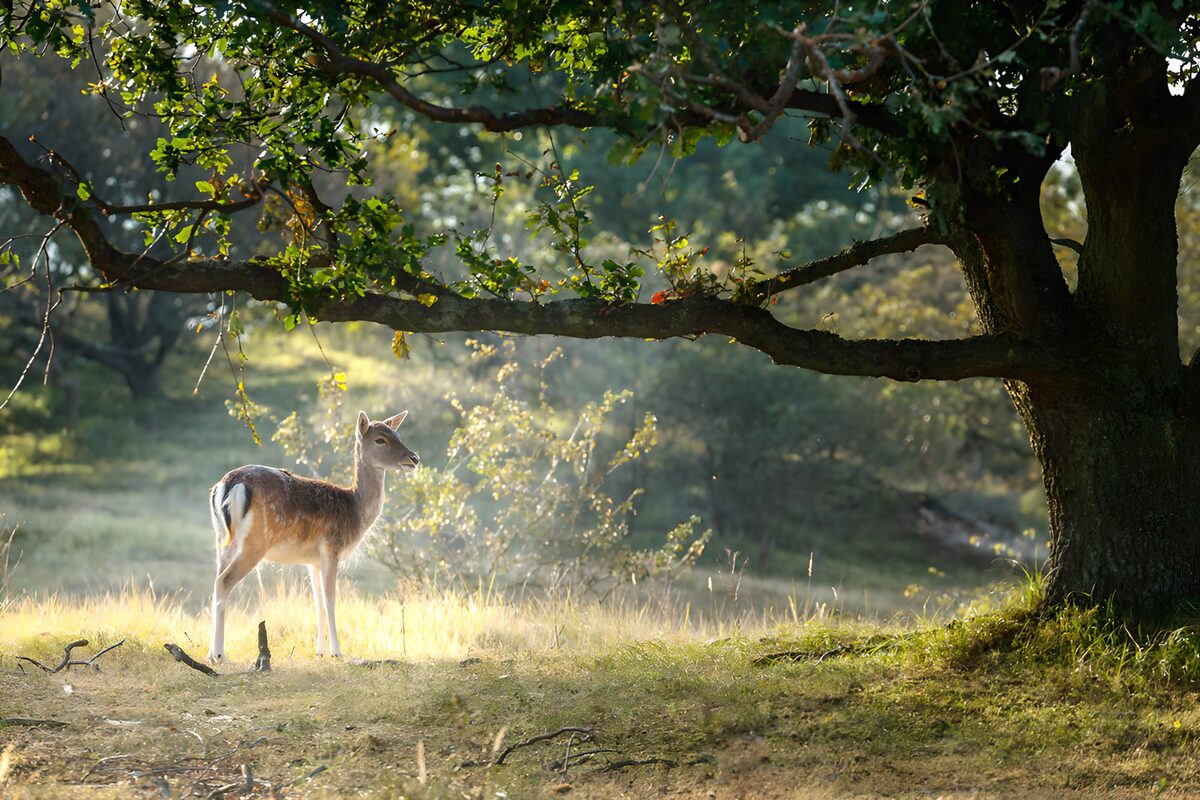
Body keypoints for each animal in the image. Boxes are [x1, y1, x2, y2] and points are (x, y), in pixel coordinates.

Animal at [207, 410, 419, 663]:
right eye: (380, 439)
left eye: (397, 434)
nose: (414, 458)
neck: (354, 509)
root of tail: (229, 484)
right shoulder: (331, 548)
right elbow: (330, 600)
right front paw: (337, 652)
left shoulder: (313, 560)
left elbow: (317, 602)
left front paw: (320, 651)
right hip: (255, 543)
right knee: (224, 582)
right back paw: (220, 655)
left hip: (222, 541)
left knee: (214, 583)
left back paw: (210, 653)